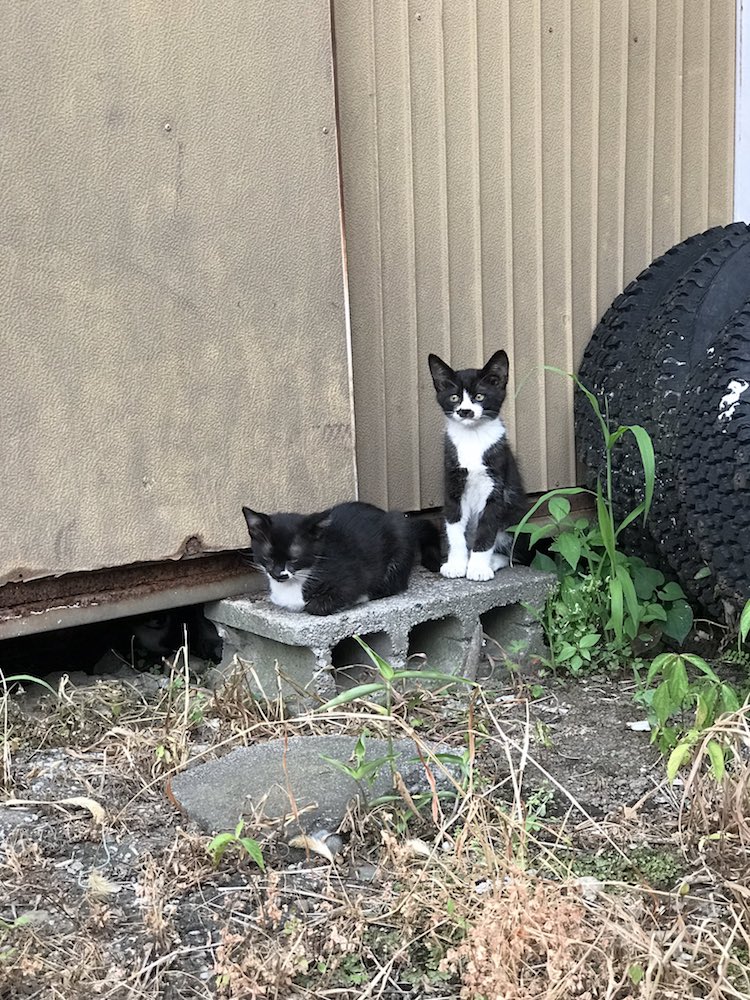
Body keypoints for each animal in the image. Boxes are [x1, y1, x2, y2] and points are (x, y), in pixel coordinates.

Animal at [241, 504, 444, 612]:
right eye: (267, 557)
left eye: (294, 558)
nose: (278, 574)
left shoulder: (353, 576)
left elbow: (316, 605)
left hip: (399, 536)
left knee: (394, 584)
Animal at [428, 350, 528, 580]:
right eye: (454, 397)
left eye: (480, 396)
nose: (465, 411)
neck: (472, 437)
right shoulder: (453, 482)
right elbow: (454, 527)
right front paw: (456, 565)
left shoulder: (495, 486)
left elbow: (487, 529)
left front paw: (478, 568)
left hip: (515, 516)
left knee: (514, 553)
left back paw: (493, 561)